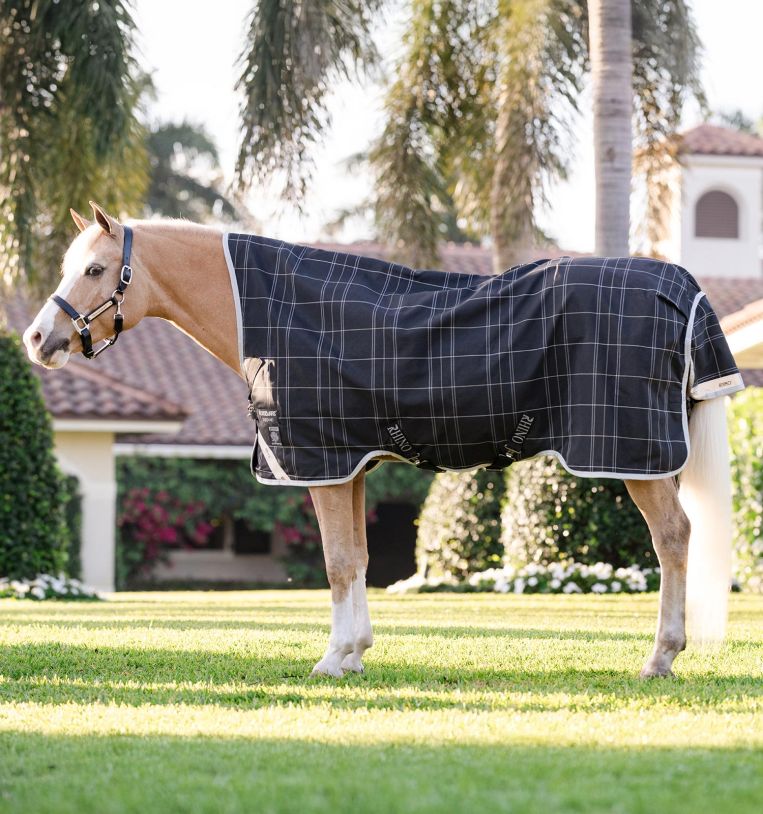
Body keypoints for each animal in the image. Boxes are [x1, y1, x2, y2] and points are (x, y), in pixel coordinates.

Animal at [23, 202, 738, 679]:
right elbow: (359, 559)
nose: (36, 339)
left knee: (673, 537)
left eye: (95, 269)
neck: (271, 311)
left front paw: (333, 659)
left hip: (637, 455)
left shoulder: (320, 462)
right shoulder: (353, 466)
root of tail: (682, 288)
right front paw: (355, 653)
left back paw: (660, 657)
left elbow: (338, 563)